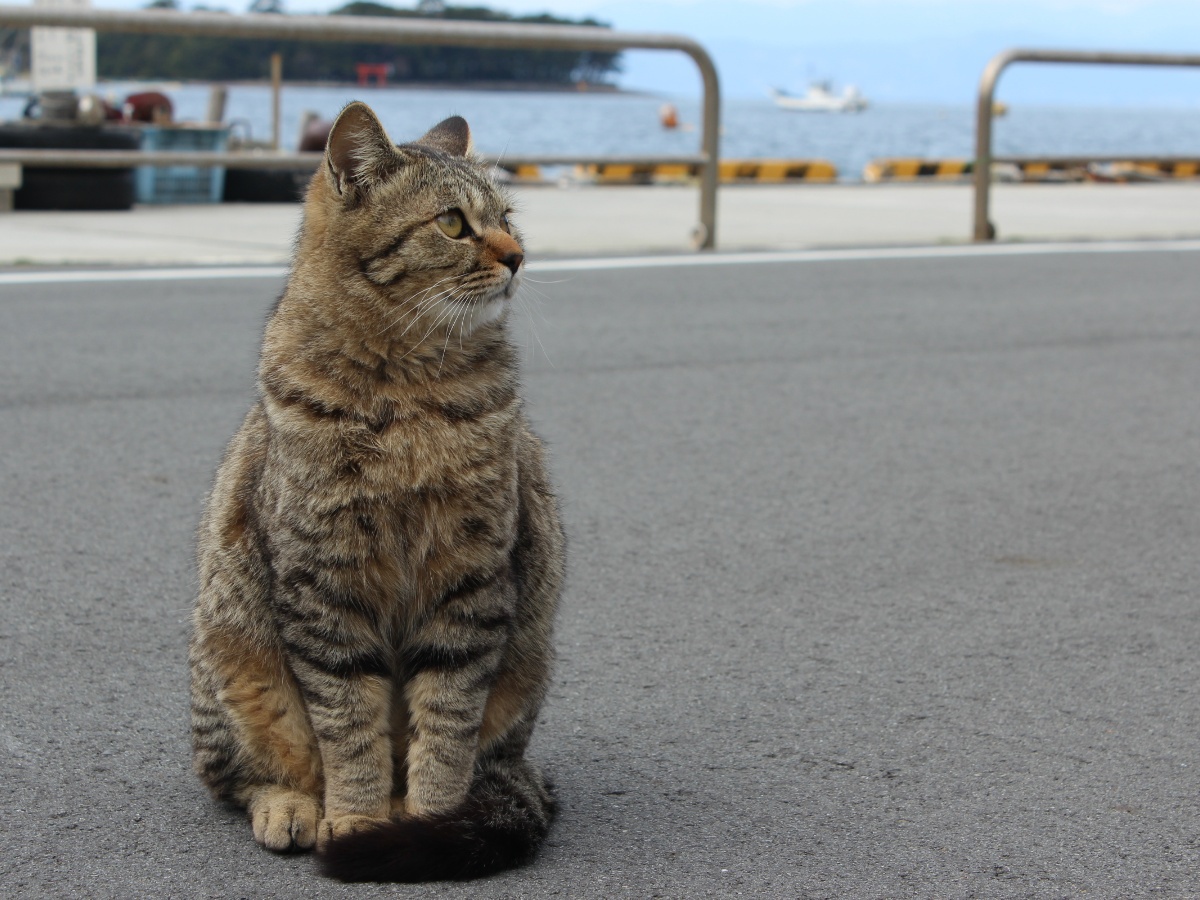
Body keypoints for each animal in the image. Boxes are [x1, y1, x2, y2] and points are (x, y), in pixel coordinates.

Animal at [186, 102, 566, 883]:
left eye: (508, 217)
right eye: (452, 223)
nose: (518, 255)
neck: (408, 391)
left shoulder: (470, 584)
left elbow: (445, 727)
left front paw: (429, 824)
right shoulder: (325, 587)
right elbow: (350, 726)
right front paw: (356, 818)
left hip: (527, 670)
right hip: (231, 659)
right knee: (243, 778)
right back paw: (294, 808)